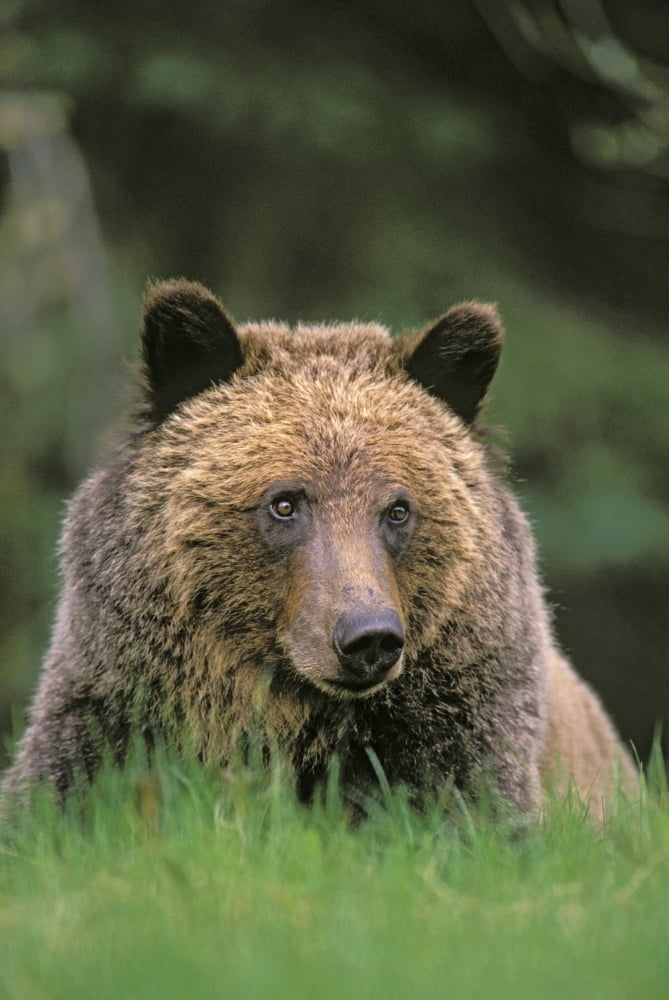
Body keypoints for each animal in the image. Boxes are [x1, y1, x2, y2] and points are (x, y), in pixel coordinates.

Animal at [2, 279, 636, 822]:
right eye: (285, 503)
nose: (367, 637)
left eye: (398, 509)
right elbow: (56, 796)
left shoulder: (457, 720)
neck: (283, 713)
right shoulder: (115, 702)